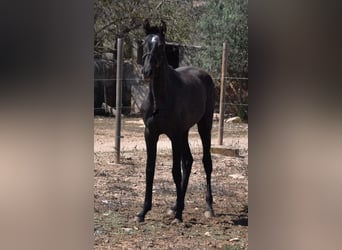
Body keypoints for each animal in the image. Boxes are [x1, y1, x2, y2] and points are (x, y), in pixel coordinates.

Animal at [136, 19, 214, 223]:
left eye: (161, 45)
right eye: (144, 43)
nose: (146, 71)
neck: (160, 98)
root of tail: (204, 75)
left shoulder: (173, 135)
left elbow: (175, 173)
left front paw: (179, 216)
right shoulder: (150, 134)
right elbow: (150, 170)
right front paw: (143, 211)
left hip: (204, 126)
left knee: (206, 162)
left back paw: (208, 207)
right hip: (184, 133)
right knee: (188, 161)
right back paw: (176, 206)